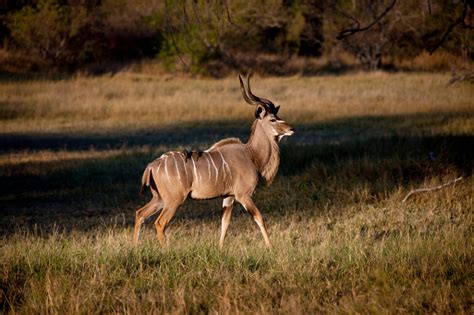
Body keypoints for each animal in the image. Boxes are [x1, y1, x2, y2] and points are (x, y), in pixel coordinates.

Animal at [133, 74, 294, 249]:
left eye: (277, 117)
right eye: (272, 119)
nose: (291, 129)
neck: (251, 154)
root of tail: (152, 166)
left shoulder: (229, 197)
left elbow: (225, 223)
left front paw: (220, 248)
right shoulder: (243, 195)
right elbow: (259, 218)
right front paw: (270, 247)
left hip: (159, 199)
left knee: (140, 213)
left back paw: (133, 246)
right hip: (174, 200)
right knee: (160, 223)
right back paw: (167, 250)